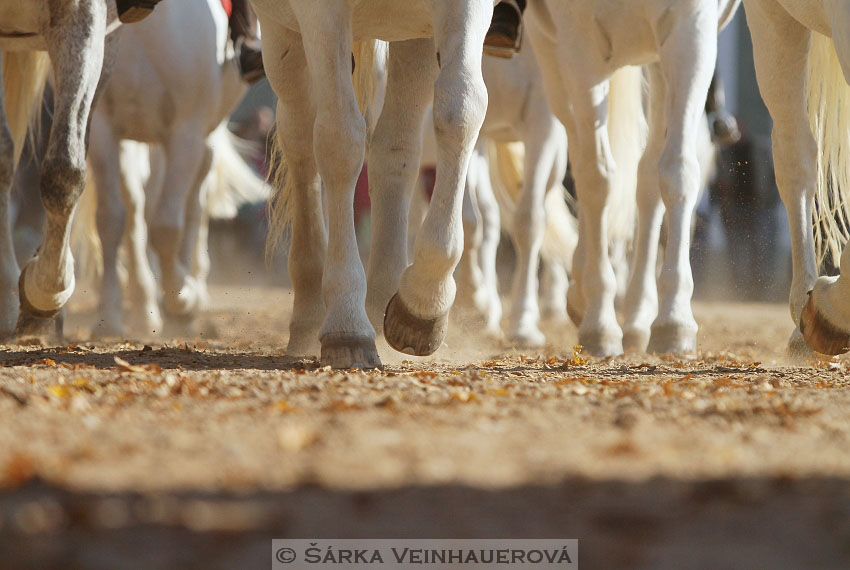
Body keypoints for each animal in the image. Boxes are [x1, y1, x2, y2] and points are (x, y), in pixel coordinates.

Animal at [85, 0, 262, 336]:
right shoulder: (102, 128)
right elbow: (110, 221)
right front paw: (109, 316)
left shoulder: (185, 132)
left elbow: (166, 227)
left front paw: (183, 297)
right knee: (138, 208)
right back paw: (145, 307)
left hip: (202, 141)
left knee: (193, 205)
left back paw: (188, 292)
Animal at [258, 1, 496, 368]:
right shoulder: (320, 14)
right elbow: (340, 140)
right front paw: (347, 324)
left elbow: (461, 111)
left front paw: (423, 305)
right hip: (280, 33)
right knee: (300, 139)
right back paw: (311, 310)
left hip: (413, 34)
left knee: (396, 144)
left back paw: (382, 298)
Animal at [528, 1, 740, 356]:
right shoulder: (579, 45)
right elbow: (597, 178)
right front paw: (600, 323)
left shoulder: (689, 28)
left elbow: (677, 171)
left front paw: (674, 322)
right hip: (552, 54)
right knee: (580, 155)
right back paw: (585, 292)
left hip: (656, 61)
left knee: (649, 174)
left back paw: (639, 318)